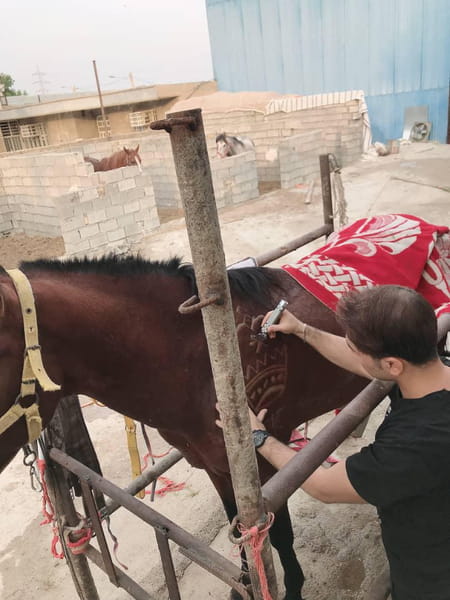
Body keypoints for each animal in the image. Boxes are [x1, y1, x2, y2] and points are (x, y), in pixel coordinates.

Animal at [0, 255, 368, 596]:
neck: (202, 359)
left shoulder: (262, 467)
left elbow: (275, 534)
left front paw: (290, 586)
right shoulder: (217, 467)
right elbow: (238, 528)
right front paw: (243, 583)